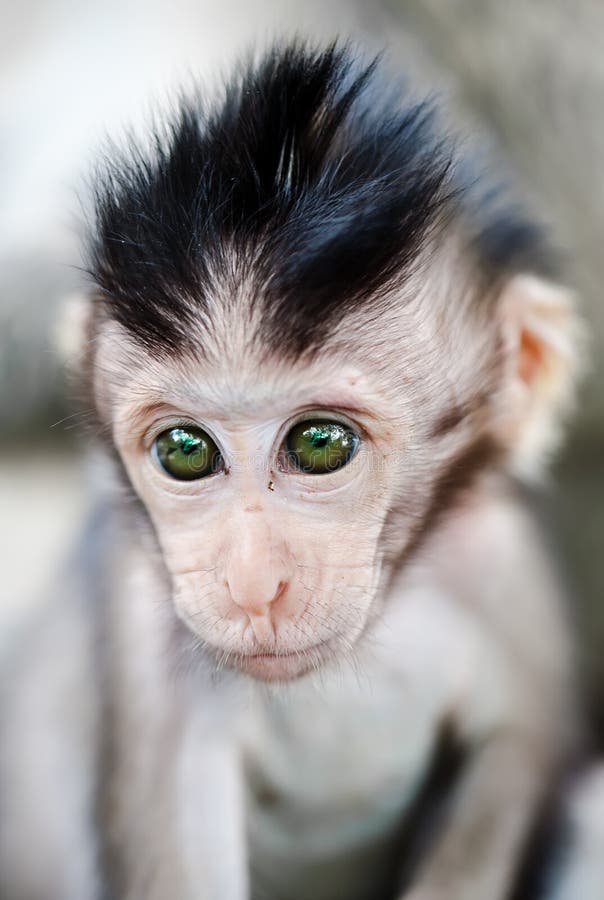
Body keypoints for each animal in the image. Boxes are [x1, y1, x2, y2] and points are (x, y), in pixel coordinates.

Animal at [0, 40, 596, 900]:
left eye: (319, 445)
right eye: (185, 451)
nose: (253, 585)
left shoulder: (499, 568)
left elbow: (515, 755)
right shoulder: (140, 614)